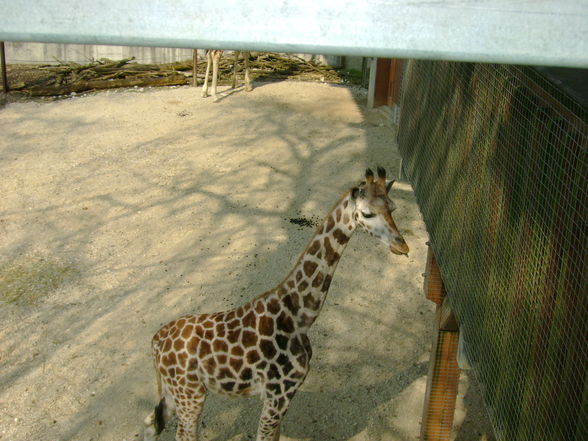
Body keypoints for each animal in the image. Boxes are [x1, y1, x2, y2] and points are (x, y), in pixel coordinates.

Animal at [142, 167, 408, 438]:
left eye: (393, 207)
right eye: (367, 213)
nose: (403, 246)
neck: (300, 316)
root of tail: (155, 343)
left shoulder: (285, 395)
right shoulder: (277, 394)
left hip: (174, 392)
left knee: (151, 424)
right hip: (191, 394)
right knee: (183, 433)